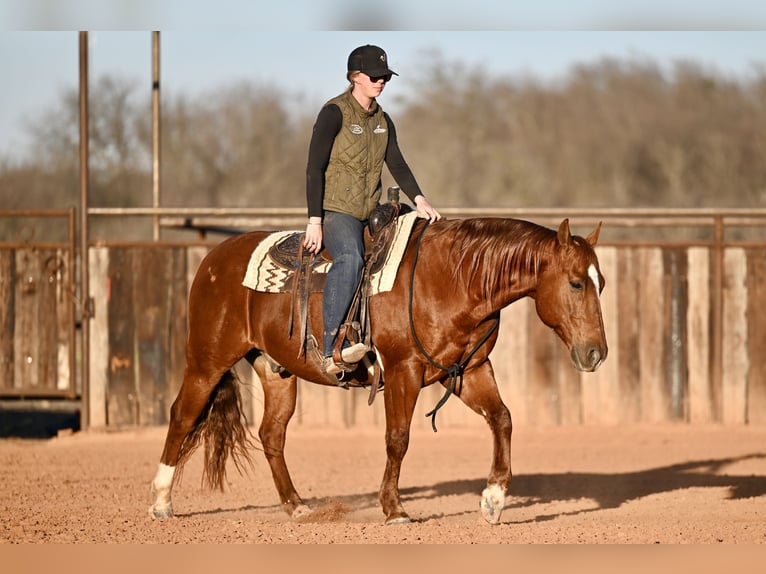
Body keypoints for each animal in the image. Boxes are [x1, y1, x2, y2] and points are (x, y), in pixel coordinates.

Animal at [149, 216, 607, 525]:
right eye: (575, 283)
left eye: (600, 282)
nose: (597, 353)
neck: (451, 278)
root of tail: (213, 260)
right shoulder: (404, 371)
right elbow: (398, 439)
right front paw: (394, 508)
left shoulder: (468, 370)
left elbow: (502, 418)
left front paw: (493, 500)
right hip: (206, 360)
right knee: (183, 416)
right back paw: (160, 503)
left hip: (276, 370)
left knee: (271, 434)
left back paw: (296, 507)